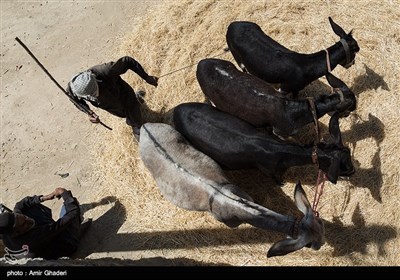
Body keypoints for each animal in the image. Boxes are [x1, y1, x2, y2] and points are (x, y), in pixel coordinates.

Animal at [173, 103, 354, 186]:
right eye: (342, 166)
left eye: (349, 153)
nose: (353, 171)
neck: (281, 152)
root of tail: (176, 109)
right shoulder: (268, 171)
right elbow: (276, 179)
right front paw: (281, 183)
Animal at [227, 18, 360, 96]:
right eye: (355, 51)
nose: (352, 63)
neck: (306, 65)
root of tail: (232, 25)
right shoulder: (284, 88)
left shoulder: (297, 89)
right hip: (238, 60)